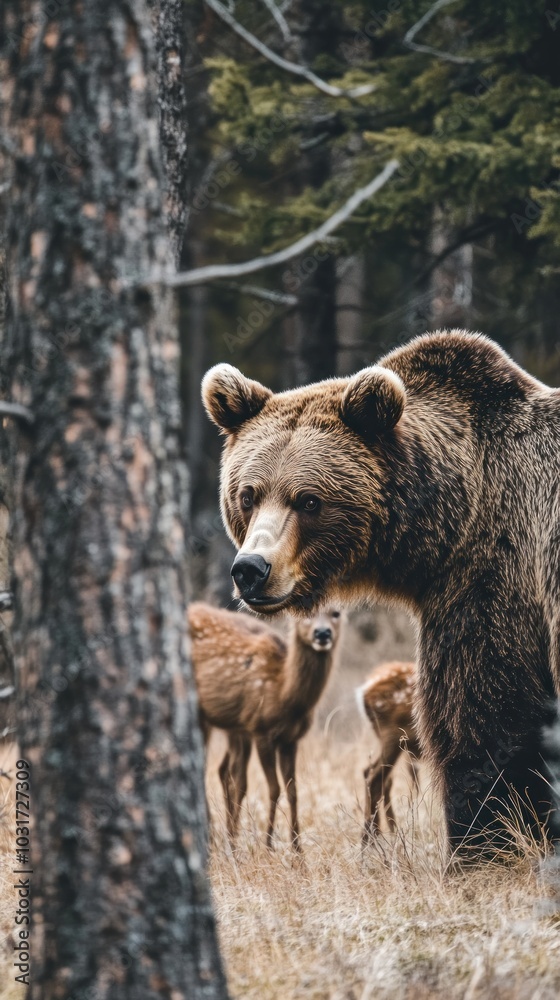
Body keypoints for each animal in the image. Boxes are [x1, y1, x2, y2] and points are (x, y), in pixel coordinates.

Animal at [188, 601, 342, 851]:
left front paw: (297, 848)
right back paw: (214, 836)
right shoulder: (261, 730)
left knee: (223, 771)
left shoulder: (290, 739)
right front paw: (268, 844)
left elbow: (292, 790)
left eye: (336, 613)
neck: (285, 694)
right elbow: (274, 788)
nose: (322, 633)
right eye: (305, 613)